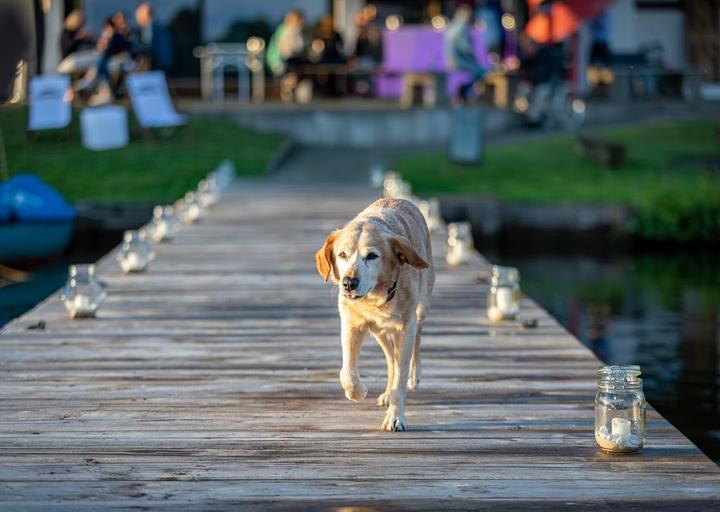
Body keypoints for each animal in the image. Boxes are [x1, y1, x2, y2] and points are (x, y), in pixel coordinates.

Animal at [314, 198, 434, 430]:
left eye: (372, 256)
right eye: (342, 254)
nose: (349, 283)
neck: (375, 297)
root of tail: (402, 200)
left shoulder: (406, 327)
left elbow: (401, 376)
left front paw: (395, 416)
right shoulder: (351, 325)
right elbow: (347, 373)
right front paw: (358, 392)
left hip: (422, 306)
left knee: (417, 339)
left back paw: (415, 375)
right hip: (380, 332)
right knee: (391, 359)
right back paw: (386, 392)